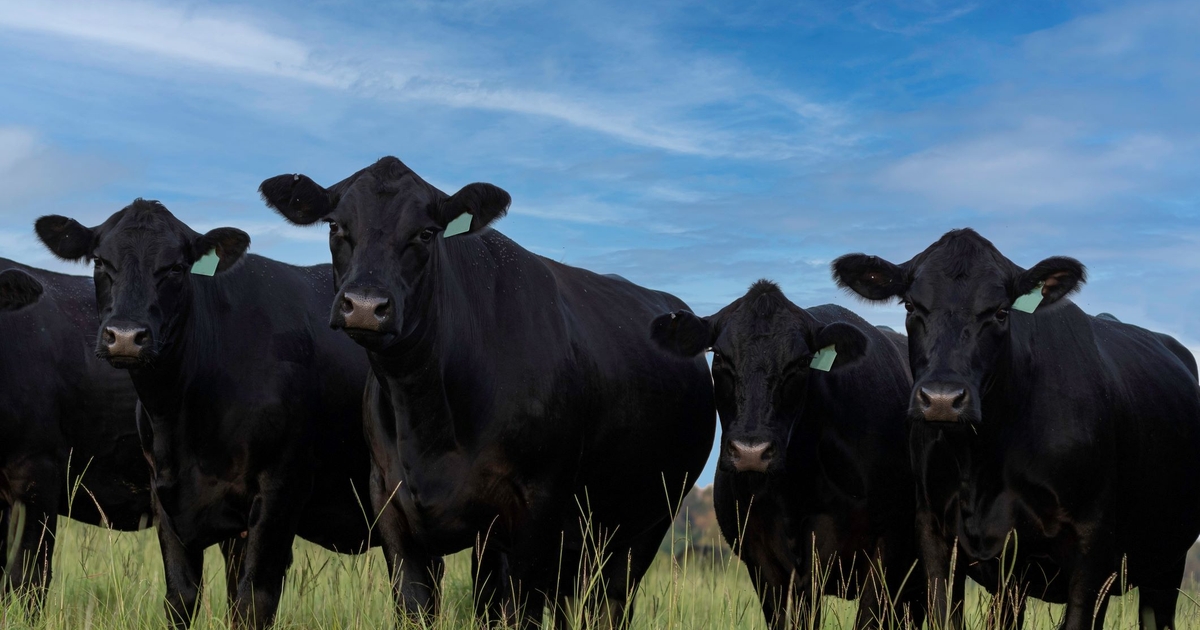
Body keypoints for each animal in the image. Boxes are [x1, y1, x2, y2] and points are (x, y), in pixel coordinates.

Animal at [35, 200, 372, 624]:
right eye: (100, 262)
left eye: (176, 268)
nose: (125, 336)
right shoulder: (166, 496)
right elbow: (182, 596)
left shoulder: (281, 488)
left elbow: (252, 601)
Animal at [260, 156, 710, 624]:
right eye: (335, 225)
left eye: (426, 232)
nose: (365, 305)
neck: (426, 416)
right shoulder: (392, 511)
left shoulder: (535, 515)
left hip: (646, 525)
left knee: (609, 604)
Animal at [652, 279, 921, 628]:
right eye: (721, 357)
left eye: (801, 363)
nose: (751, 451)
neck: (797, 490)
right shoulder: (766, 564)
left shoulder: (887, 552)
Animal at [830, 229, 1200, 628]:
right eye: (911, 307)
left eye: (1001, 311)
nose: (942, 398)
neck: (983, 465)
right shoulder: (937, 534)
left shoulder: (1092, 542)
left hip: (1165, 565)